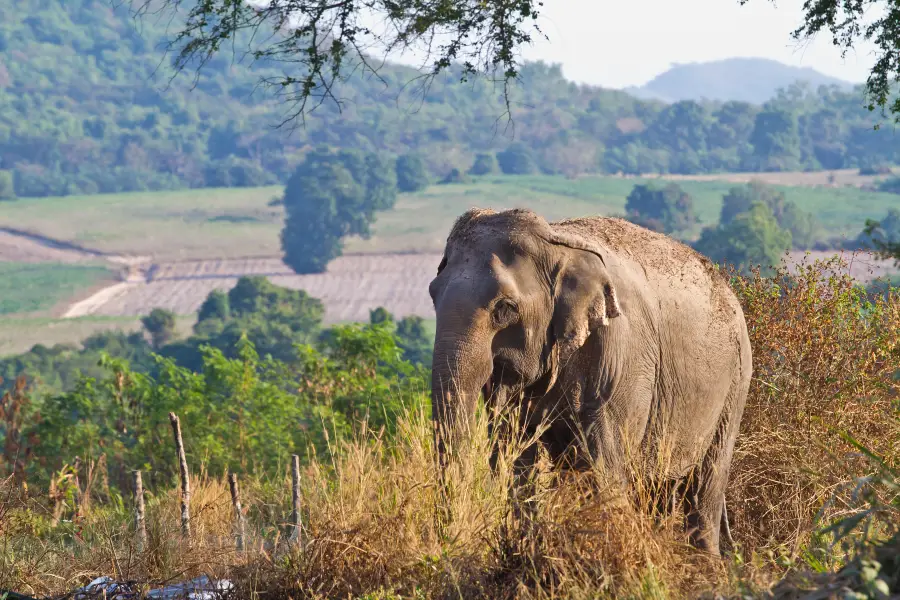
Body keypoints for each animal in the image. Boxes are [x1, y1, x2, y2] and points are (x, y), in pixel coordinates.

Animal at [428, 209, 752, 556]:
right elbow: (516, 456)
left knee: (706, 483)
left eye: (505, 308)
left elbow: (603, 462)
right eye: (433, 293)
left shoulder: (620, 355)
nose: (448, 545)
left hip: (736, 382)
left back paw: (706, 562)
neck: (558, 245)